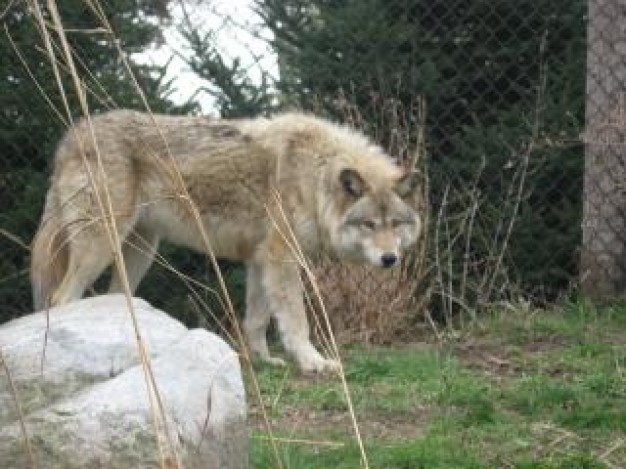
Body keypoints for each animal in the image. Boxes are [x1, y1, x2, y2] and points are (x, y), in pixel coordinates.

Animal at [29, 110, 420, 372]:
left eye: (395, 224)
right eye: (369, 224)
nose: (390, 259)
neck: (315, 177)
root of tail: (71, 136)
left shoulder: (260, 261)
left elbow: (257, 320)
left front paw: (263, 361)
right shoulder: (281, 257)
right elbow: (296, 320)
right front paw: (314, 362)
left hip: (140, 250)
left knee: (112, 296)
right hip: (101, 245)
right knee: (60, 299)